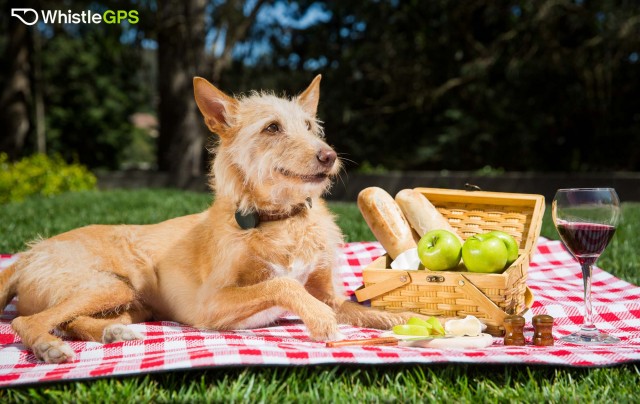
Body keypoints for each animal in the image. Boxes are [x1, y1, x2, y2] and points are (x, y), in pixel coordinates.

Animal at [0, 76, 416, 362]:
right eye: (272, 128)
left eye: (311, 126)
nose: (329, 156)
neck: (281, 219)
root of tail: (26, 255)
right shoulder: (208, 306)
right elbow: (282, 284)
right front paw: (317, 318)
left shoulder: (329, 293)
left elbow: (364, 309)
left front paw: (406, 315)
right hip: (108, 285)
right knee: (27, 322)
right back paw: (51, 349)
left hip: (131, 298)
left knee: (72, 322)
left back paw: (114, 333)